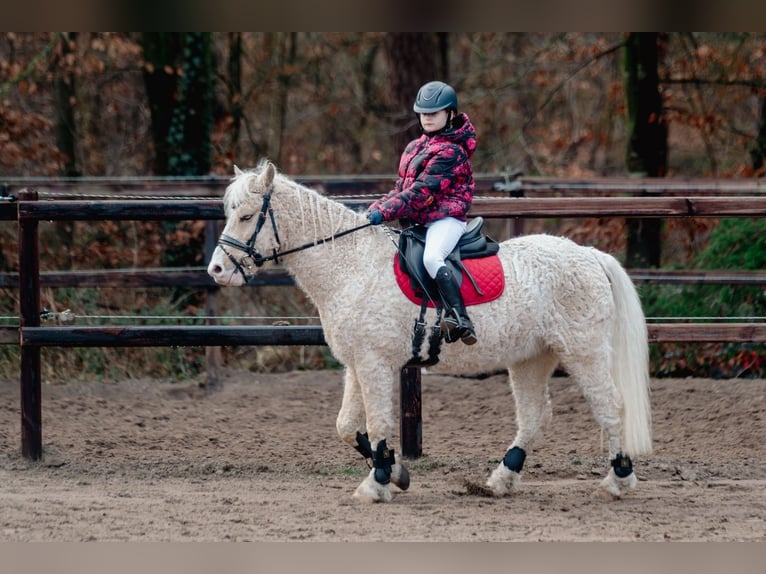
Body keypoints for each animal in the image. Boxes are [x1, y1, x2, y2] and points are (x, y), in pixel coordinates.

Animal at [207, 160, 653, 503]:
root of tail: (589, 256)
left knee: (610, 408)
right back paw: (501, 480)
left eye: (247, 216)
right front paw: (395, 472)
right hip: (530, 358)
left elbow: (379, 425)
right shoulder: (356, 364)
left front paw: (378, 483)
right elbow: (347, 426)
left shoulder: (375, 364)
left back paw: (618, 480)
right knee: (534, 417)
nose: (217, 270)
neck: (353, 264)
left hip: (584, 352)